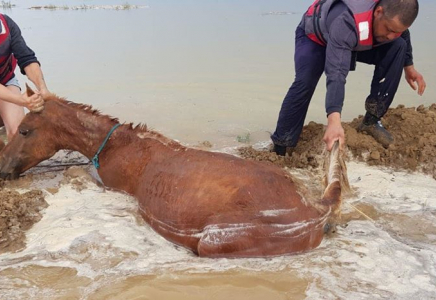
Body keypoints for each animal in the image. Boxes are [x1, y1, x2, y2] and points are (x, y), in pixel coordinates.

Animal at [0, 86, 348, 258]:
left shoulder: (111, 185)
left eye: (25, 130)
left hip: (216, 239)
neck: (114, 144)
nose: (3, 168)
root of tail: (314, 207)